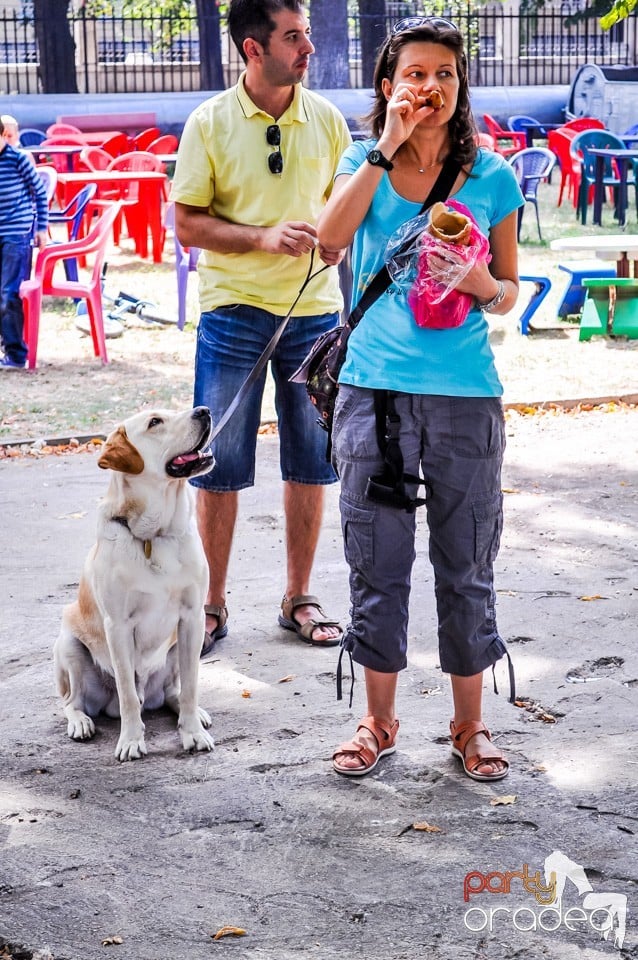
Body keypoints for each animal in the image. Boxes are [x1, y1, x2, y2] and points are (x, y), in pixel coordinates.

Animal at [55, 408, 215, 760]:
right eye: (155, 422)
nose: (205, 411)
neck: (154, 535)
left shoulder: (192, 618)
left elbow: (192, 686)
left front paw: (192, 733)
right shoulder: (118, 626)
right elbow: (127, 691)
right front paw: (130, 740)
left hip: (176, 651)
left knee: (174, 692)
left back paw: (195, 714)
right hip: (69, 645)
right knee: (72, 701)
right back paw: (81, 722)